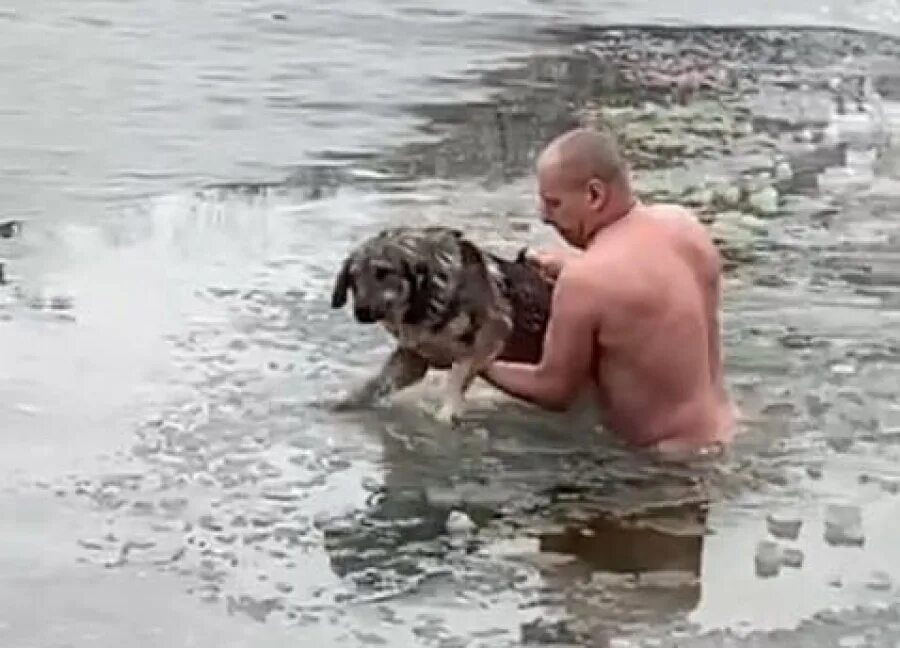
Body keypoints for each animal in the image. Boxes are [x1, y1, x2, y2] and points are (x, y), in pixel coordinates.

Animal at [330, 225, 556, 422]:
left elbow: (457, 375)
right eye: (352, 278)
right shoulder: (413, 359)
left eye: (383, 272)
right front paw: (345, 401)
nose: (361, 312)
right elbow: (375, 385)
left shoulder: (489, 339)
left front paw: (447, 412)